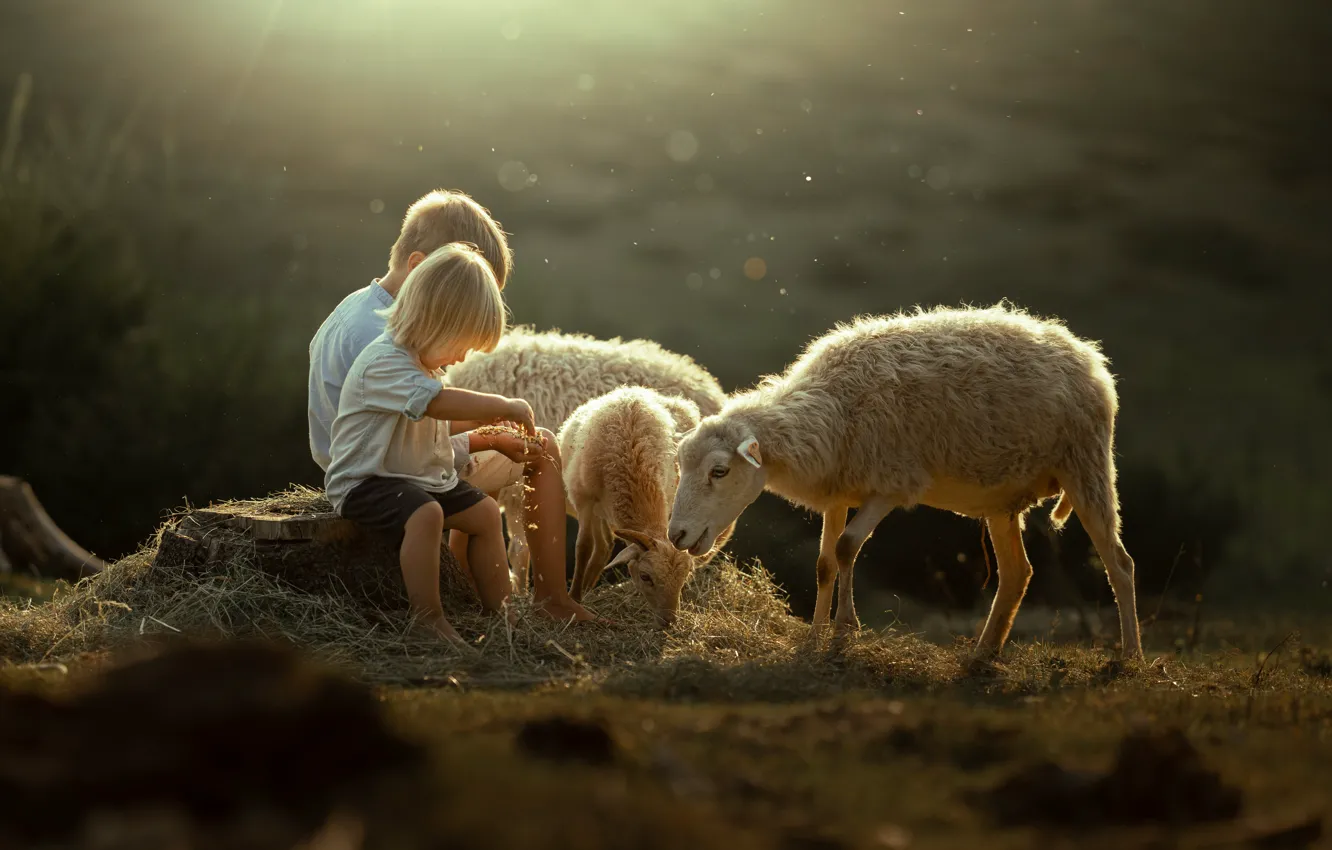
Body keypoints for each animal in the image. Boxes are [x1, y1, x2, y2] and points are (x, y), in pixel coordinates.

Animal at [557, 386, 710, 626]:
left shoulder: (667, 495)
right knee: (600, 544)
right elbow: (583, 547)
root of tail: (630, 390)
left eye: (684, 578)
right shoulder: (584, 500)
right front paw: (574, 598)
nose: (668, 621)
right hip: (596, 508)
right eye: (645, 577)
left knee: (604, 544)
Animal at [667, 304, 1143, 661]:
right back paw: (983, 654)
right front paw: (815, 636)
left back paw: (1131, 657)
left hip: (1086, 464)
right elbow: (823, 564)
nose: (676, 535)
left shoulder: (891, 485)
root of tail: (1088, 355)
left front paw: (845, 629)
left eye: (719, 471)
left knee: (1119, 563)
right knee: (1016, 574)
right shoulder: (838, 492)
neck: (833, 409)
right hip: (1004, 497)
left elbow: (846, 548)